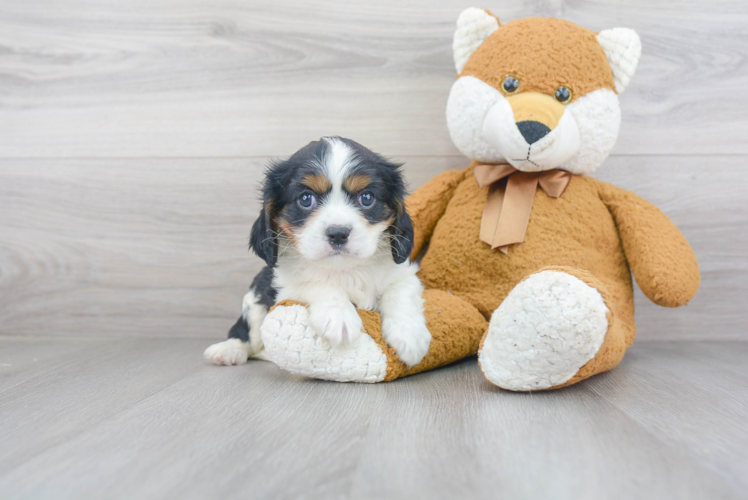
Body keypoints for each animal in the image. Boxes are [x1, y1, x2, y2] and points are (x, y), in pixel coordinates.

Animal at [205, 139, 430, 370]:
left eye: (366, 198)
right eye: (306, 199)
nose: (338, 233)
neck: (343, 269)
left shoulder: (402, 273)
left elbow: (399, 291)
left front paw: (410, 336)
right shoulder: (285, 287)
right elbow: (316, 282)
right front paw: (339, 315)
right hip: (255, 299)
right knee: (245, 331)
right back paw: (228, 350)